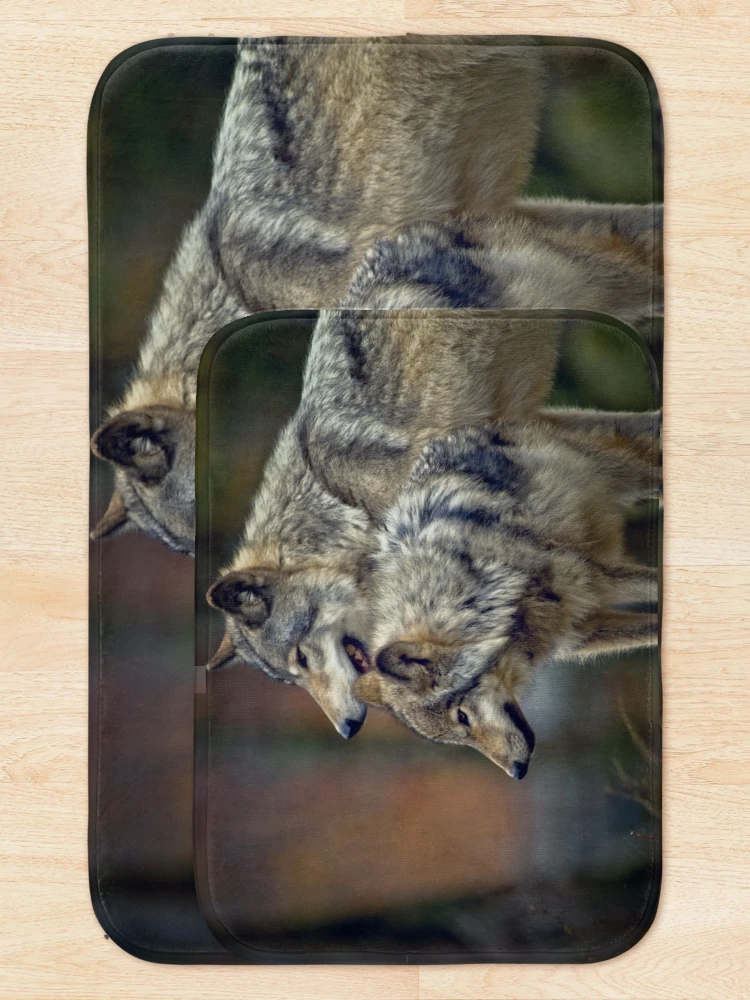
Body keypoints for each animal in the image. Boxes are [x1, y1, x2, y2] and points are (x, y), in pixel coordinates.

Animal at [354, 411, 660, 777]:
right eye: (455, 739)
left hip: (619, 474)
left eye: (462, 716)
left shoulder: (597, 578)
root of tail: (456, 433)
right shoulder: (582, 633)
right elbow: (654, 630)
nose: (516, 771)